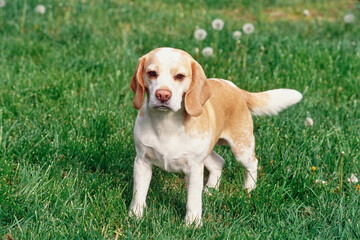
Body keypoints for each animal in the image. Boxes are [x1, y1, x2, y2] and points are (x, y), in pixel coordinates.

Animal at [128, 47, 302, 227]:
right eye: (152, 73)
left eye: (180, 76)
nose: (163, 95)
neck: (166, 124)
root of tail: (237, 89)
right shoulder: (142, 162)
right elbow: (139, 194)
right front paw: (135, 217)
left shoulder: (194, 168)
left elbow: (193, 201)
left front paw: (192, 224)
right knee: (219, 161)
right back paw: (211, 190)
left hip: (242, 149)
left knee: (253, 164)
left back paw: (249, 190)